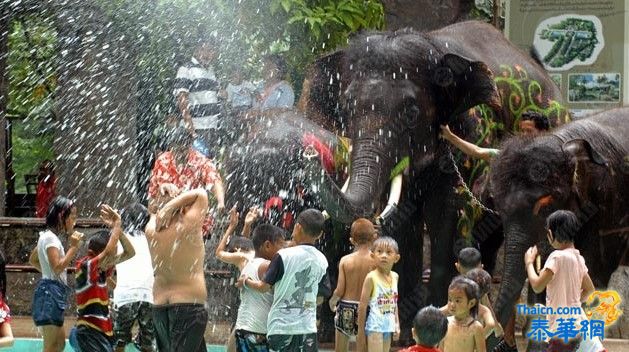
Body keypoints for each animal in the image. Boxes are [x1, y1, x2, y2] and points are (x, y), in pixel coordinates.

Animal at [300, 19, 568, 336]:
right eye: (346, 108)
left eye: (411, 112)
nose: (310, 153)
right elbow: (404, 218)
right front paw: (406, 329)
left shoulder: (473, 129)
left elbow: (446, 210)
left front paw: (439, 318)